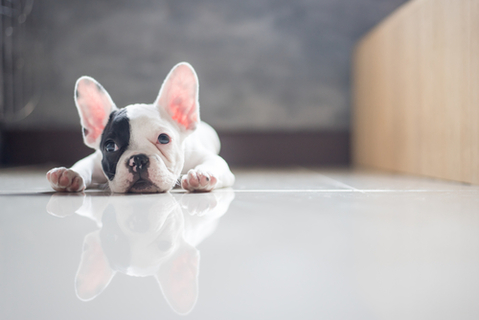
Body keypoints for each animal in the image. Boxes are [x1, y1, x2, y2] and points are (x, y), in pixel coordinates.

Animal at [46, 62, 234, 192]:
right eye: (110, 146)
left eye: (164, 139)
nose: (138, 159)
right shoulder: (96, 159)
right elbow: (83, 164)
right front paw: (69, 174)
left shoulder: (209, 159)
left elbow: (213, 163)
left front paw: (201, 174)